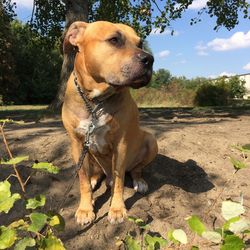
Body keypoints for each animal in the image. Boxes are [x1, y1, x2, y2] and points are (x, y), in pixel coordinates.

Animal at [61, 21, 157, 225]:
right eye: (114, 40)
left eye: (140, 43)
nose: (150, 59)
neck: (95, 101)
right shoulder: (77, 143)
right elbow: (82, 178)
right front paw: (85, 208)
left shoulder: (121, 144)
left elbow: (120, 181)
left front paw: (117, 209)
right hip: (87, 152)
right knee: (95, 173)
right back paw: (95, 180)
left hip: (151, 141)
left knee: (135, 170)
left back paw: (139, 181)